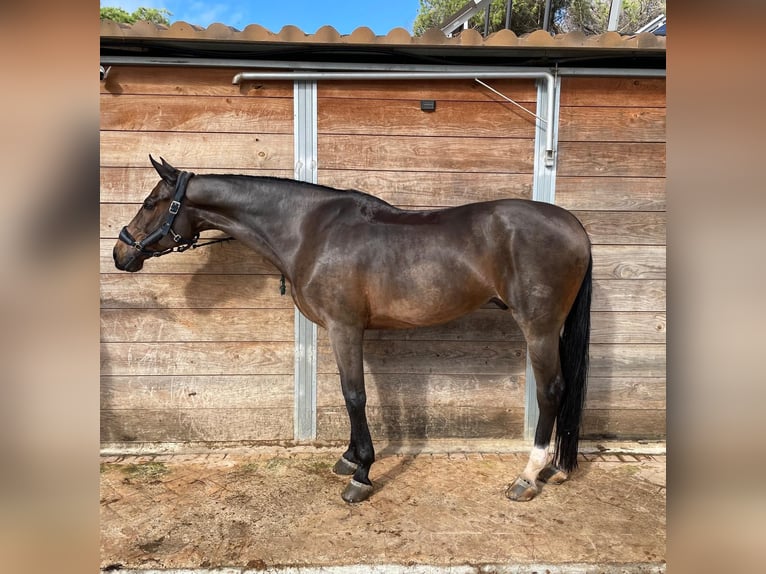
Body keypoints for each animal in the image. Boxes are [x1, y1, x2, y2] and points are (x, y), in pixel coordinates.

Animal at [113, 156, 592, 503]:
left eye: (151, 202)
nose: (121, 252)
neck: (309, 231)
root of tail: (574, 226)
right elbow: (350, 394)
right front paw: (347, 459)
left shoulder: (345, 328)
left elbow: (353, 395)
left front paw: (361, 472)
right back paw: (554, 468)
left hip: (539, 328)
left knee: (551, 390)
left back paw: (528, 476)